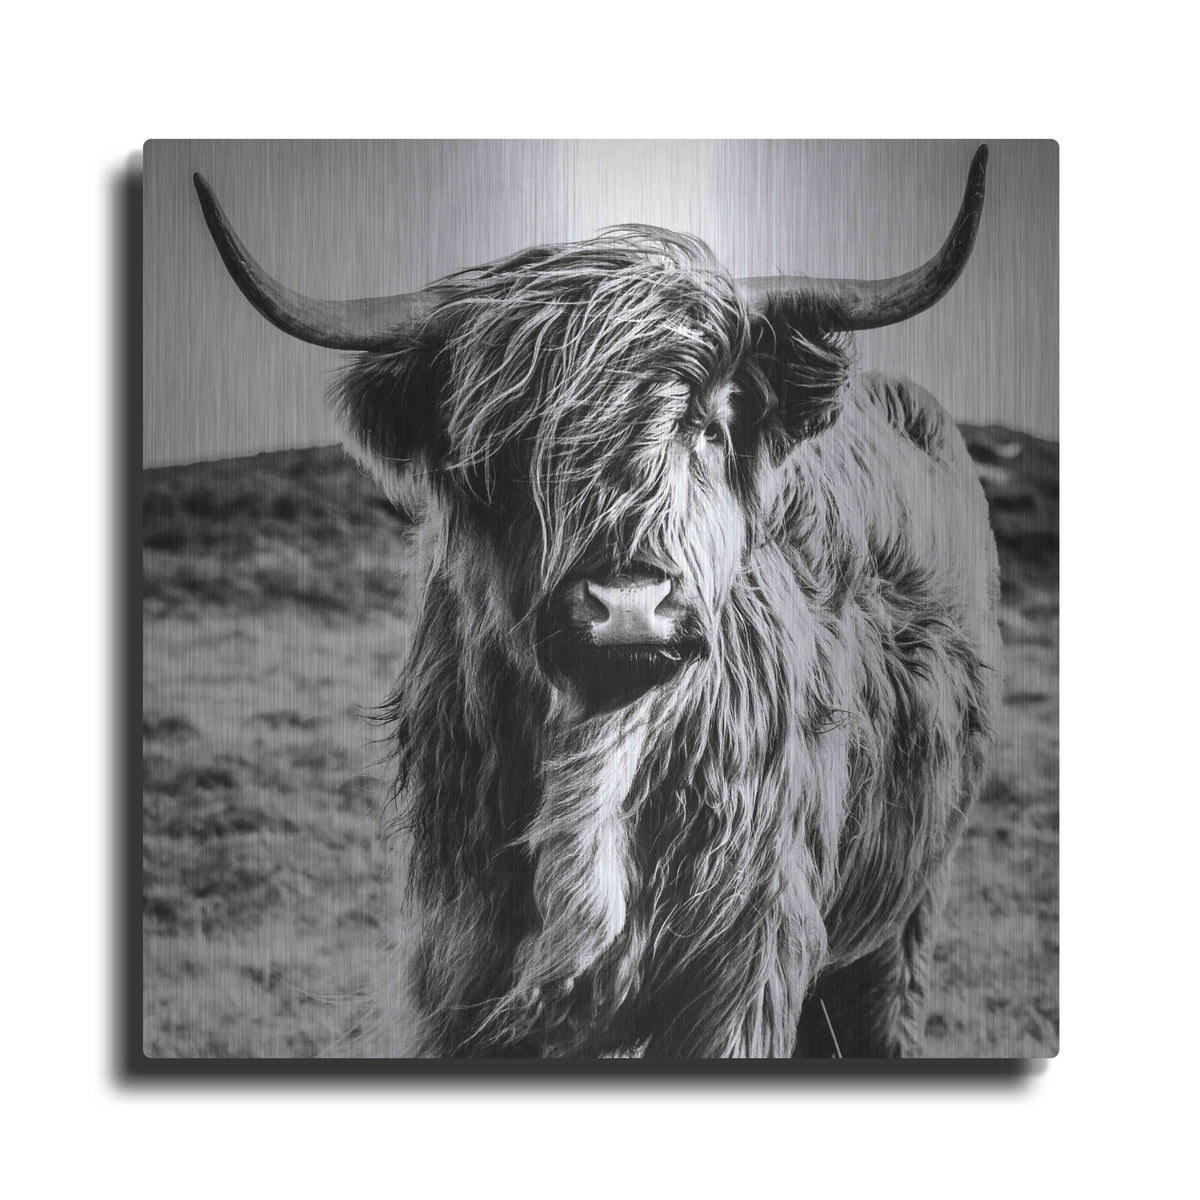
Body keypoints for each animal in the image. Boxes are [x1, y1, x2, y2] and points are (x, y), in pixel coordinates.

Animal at [194, 145, 1001, 1058]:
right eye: (509, 451)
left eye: (710, 426)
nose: (628, 602)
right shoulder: (456, 961)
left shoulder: (747, 959)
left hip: (910, 905)